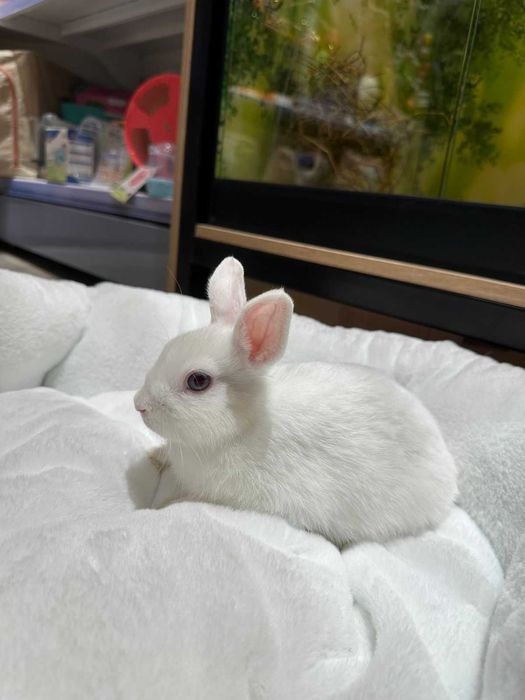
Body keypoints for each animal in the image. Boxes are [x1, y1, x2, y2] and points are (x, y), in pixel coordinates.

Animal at [134, 257, 457, 546]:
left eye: (198, 381)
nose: (139, 405)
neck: (245, 426)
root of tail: (448, 472)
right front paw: (154, 455)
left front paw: (159, 508)